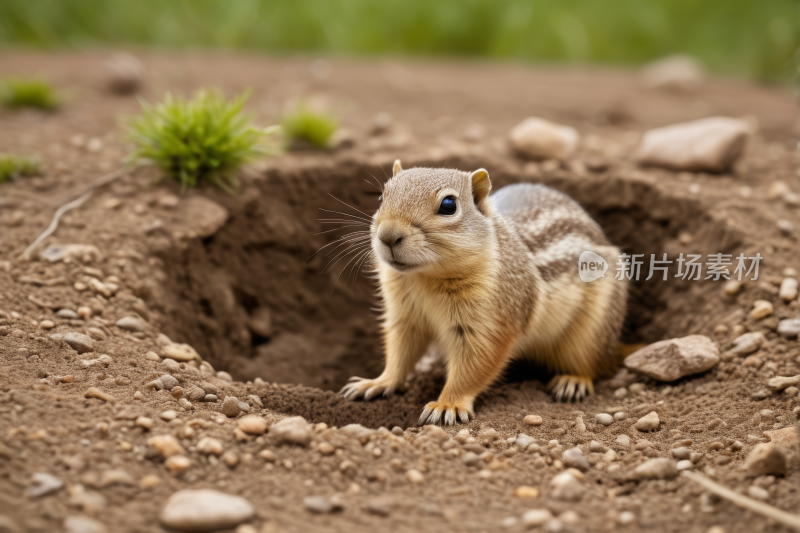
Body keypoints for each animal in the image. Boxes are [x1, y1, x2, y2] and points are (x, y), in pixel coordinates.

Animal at [338, 160, 624, 422]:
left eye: (449, 205)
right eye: (380, 197)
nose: (387, 235)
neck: (423, 278)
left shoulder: (489, 322)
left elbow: (474, 366)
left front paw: (448, 405)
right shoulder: (405, 316)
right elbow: (400, 352)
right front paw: (379, 382)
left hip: (592, 332)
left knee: (591, 363)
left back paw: (573, 380)